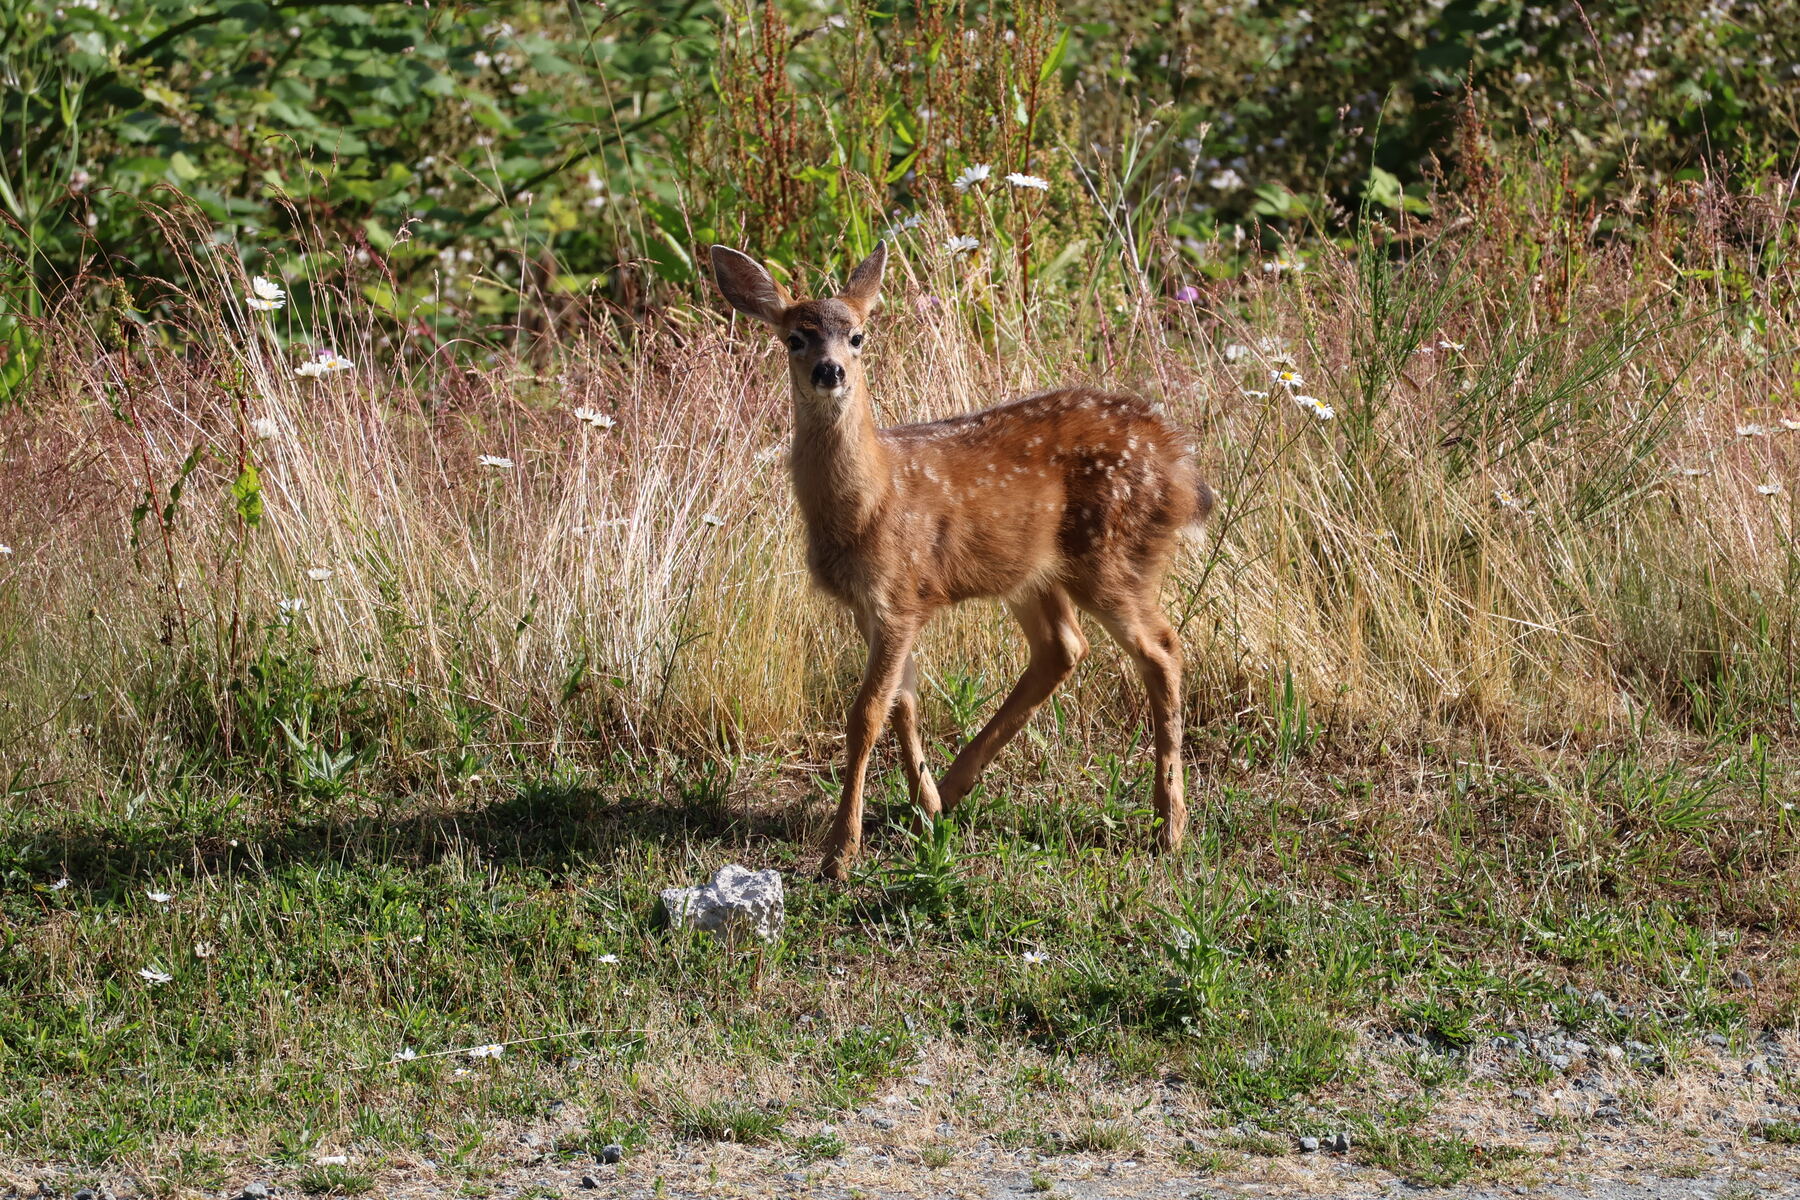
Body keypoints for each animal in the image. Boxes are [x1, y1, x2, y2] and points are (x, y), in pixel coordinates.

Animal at [711, 241, 1214, 881]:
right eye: (795, 337)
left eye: (858, 336)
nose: (831, 372)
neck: (871, 501)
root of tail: (1182, 466)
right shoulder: (873, 606)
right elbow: (903, 702)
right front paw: (920, 804)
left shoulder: (900, 594)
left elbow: (866, 714)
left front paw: (840, 852)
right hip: (1033, 573)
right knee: (1064, 648)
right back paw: (951, 791)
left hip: (1113, 555)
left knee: (1163, 649)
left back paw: (1169, 826)